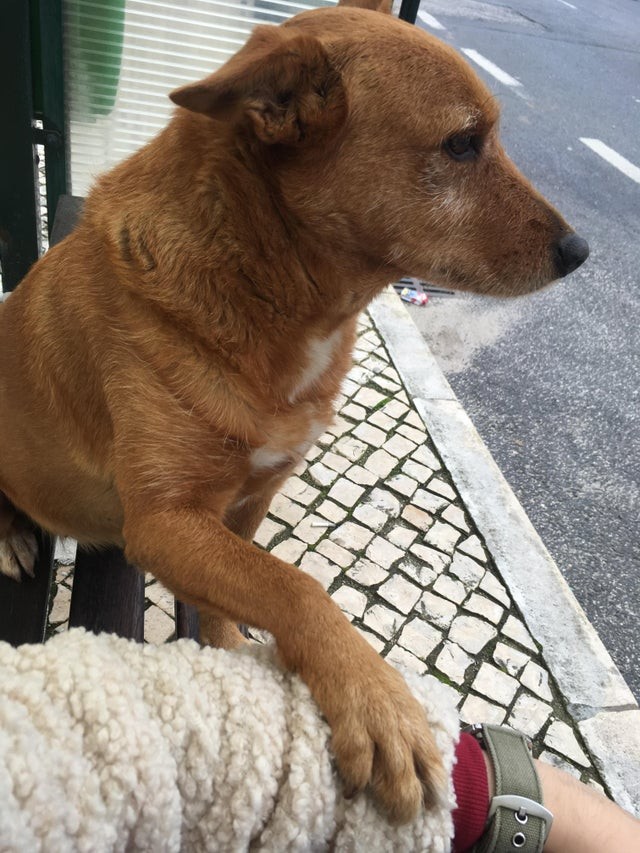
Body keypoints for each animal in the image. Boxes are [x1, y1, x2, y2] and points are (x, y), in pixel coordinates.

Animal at [0, 0, 592, 824]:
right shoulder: (164, 521)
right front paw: (379, 702)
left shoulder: (250, 498)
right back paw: (12, 537)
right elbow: (296, 587)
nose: (581, 250)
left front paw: (227, 653)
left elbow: (250, 586)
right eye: (462, 143)